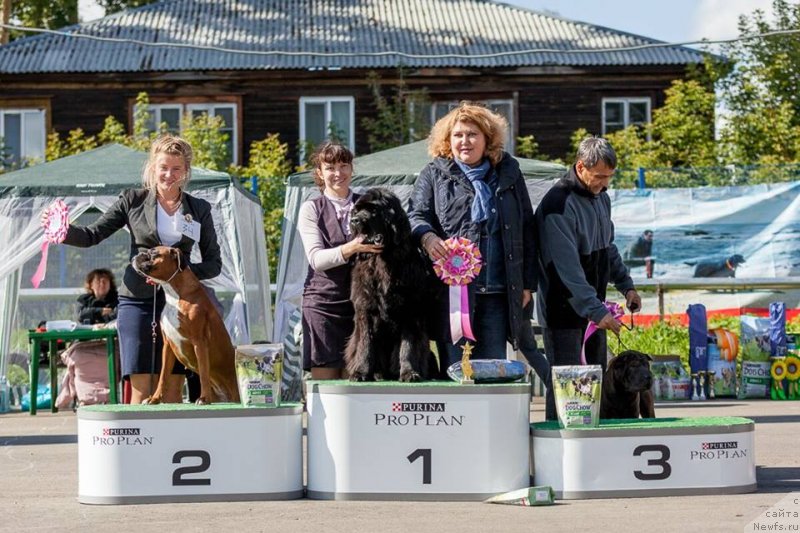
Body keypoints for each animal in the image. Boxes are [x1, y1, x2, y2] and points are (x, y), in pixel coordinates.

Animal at [130, 245, 238, 404]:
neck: (175, 295)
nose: (137, 255)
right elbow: (163, 376)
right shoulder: (167, 346)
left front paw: (204, 398)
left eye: (154, 253)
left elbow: (204, 373)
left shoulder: (199, 342)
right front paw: (154, 398)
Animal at [344, 189, 432, 380]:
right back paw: (377, 374)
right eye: (356, 211)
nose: (354, 220)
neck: (383, 260)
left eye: (374, 211)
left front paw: (409, 372)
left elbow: (407, 346)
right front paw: (360, 372)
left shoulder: (410, 310)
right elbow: (366, 343)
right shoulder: (365, 308)